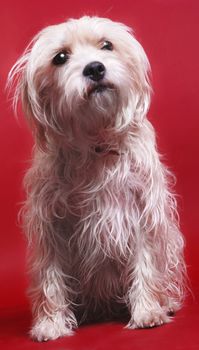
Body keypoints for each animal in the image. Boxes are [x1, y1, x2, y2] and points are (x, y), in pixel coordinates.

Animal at [7, 17, 185, 342]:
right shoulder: (52, 225)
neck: (96, 144)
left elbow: (145, 262)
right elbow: (51, 275)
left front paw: (147, 311)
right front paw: (51, 323)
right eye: (60, 57)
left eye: (106, 45)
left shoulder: (141, 212)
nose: (94, 68)